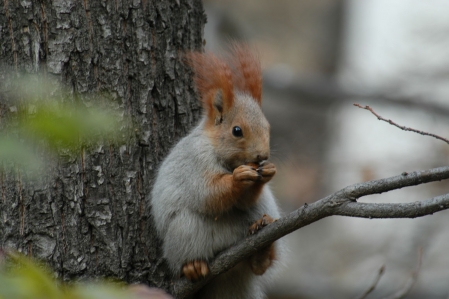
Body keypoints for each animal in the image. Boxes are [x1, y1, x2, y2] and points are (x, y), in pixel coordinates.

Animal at [152, 44, 282, 299]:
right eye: (237, 130)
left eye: (268, 127)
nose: (262, 156)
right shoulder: (194, 164)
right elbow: (209, 195)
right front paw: (238, 179)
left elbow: (243, 202)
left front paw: (268, 172)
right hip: (184, 229)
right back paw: (192, 266)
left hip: (263, 211)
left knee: (259, 264)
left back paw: (261, 251)